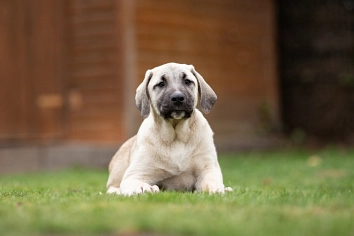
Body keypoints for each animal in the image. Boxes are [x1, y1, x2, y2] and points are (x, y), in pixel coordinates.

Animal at [105, 62, 232, 195]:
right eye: (161, 84)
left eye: (187, 81)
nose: (178, 98)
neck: (176, 137)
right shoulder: (134, 175)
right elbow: (136, 184)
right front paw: (145, 188)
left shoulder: (208, 168)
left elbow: (211, 182)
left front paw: (217, 189)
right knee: (112, 188)